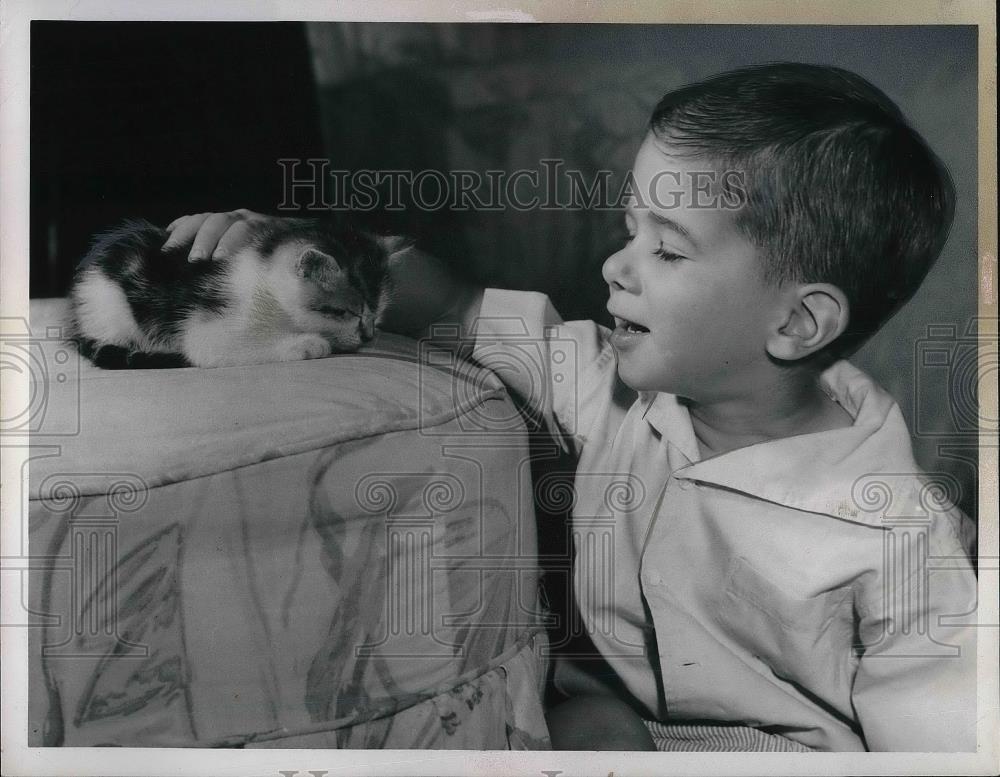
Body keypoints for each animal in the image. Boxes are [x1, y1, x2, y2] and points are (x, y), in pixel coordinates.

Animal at [66, 215, 406, 366]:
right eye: (344, 312)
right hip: (110, 306)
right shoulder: (207, 326)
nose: (369, 337)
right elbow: (234, 345)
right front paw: (308, 344)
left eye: (377, 315)